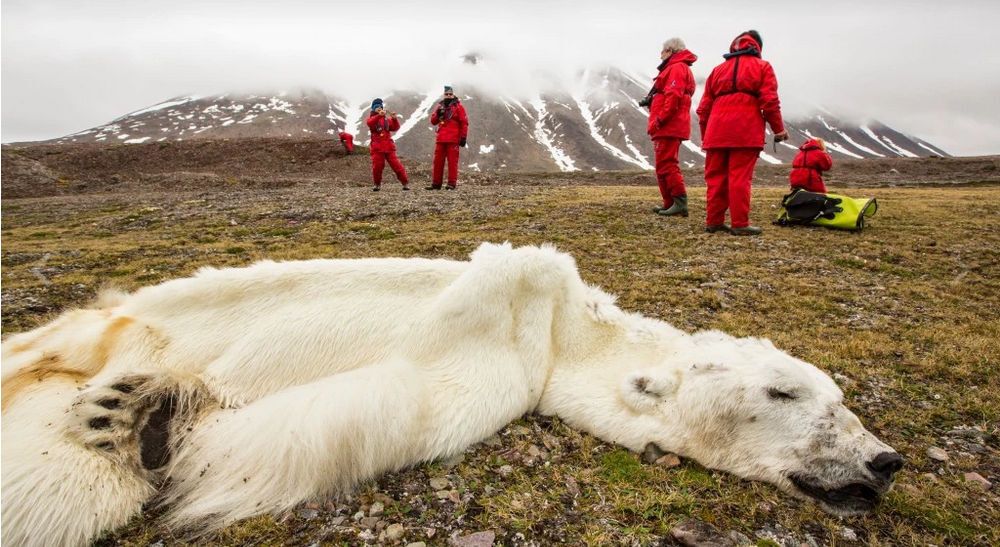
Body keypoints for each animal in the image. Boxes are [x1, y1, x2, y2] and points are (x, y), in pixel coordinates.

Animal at [1, 244, 908, 547]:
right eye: (784, 390)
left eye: (839, 395)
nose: (885, 459)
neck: (562, 332)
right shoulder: (503, 326)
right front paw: (164, 404)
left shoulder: (500, 370)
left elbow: (345, 412)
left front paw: (153, 419)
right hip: (117, 320)